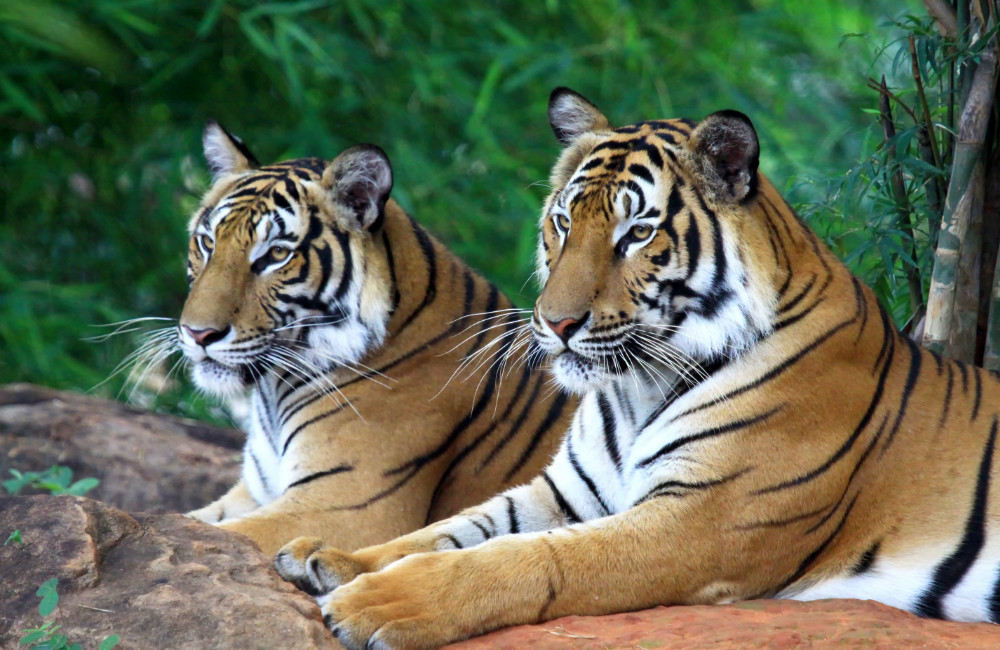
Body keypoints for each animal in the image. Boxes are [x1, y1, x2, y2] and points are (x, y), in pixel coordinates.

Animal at [175, 122, 574, 556]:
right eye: (207, 243)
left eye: (277, 254)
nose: (198, 333)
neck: (274, 392)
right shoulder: (252, 492)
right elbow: (185, 519)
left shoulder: (346, 506)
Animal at [273, 86, 1000, 649]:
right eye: (563, 223)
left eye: (637, 235)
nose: (555, 324)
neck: (635, 389)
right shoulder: (566, 490)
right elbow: (448, 529)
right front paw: (327, 557)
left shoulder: (700, 520)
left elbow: (524, 557)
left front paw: (378, 603)